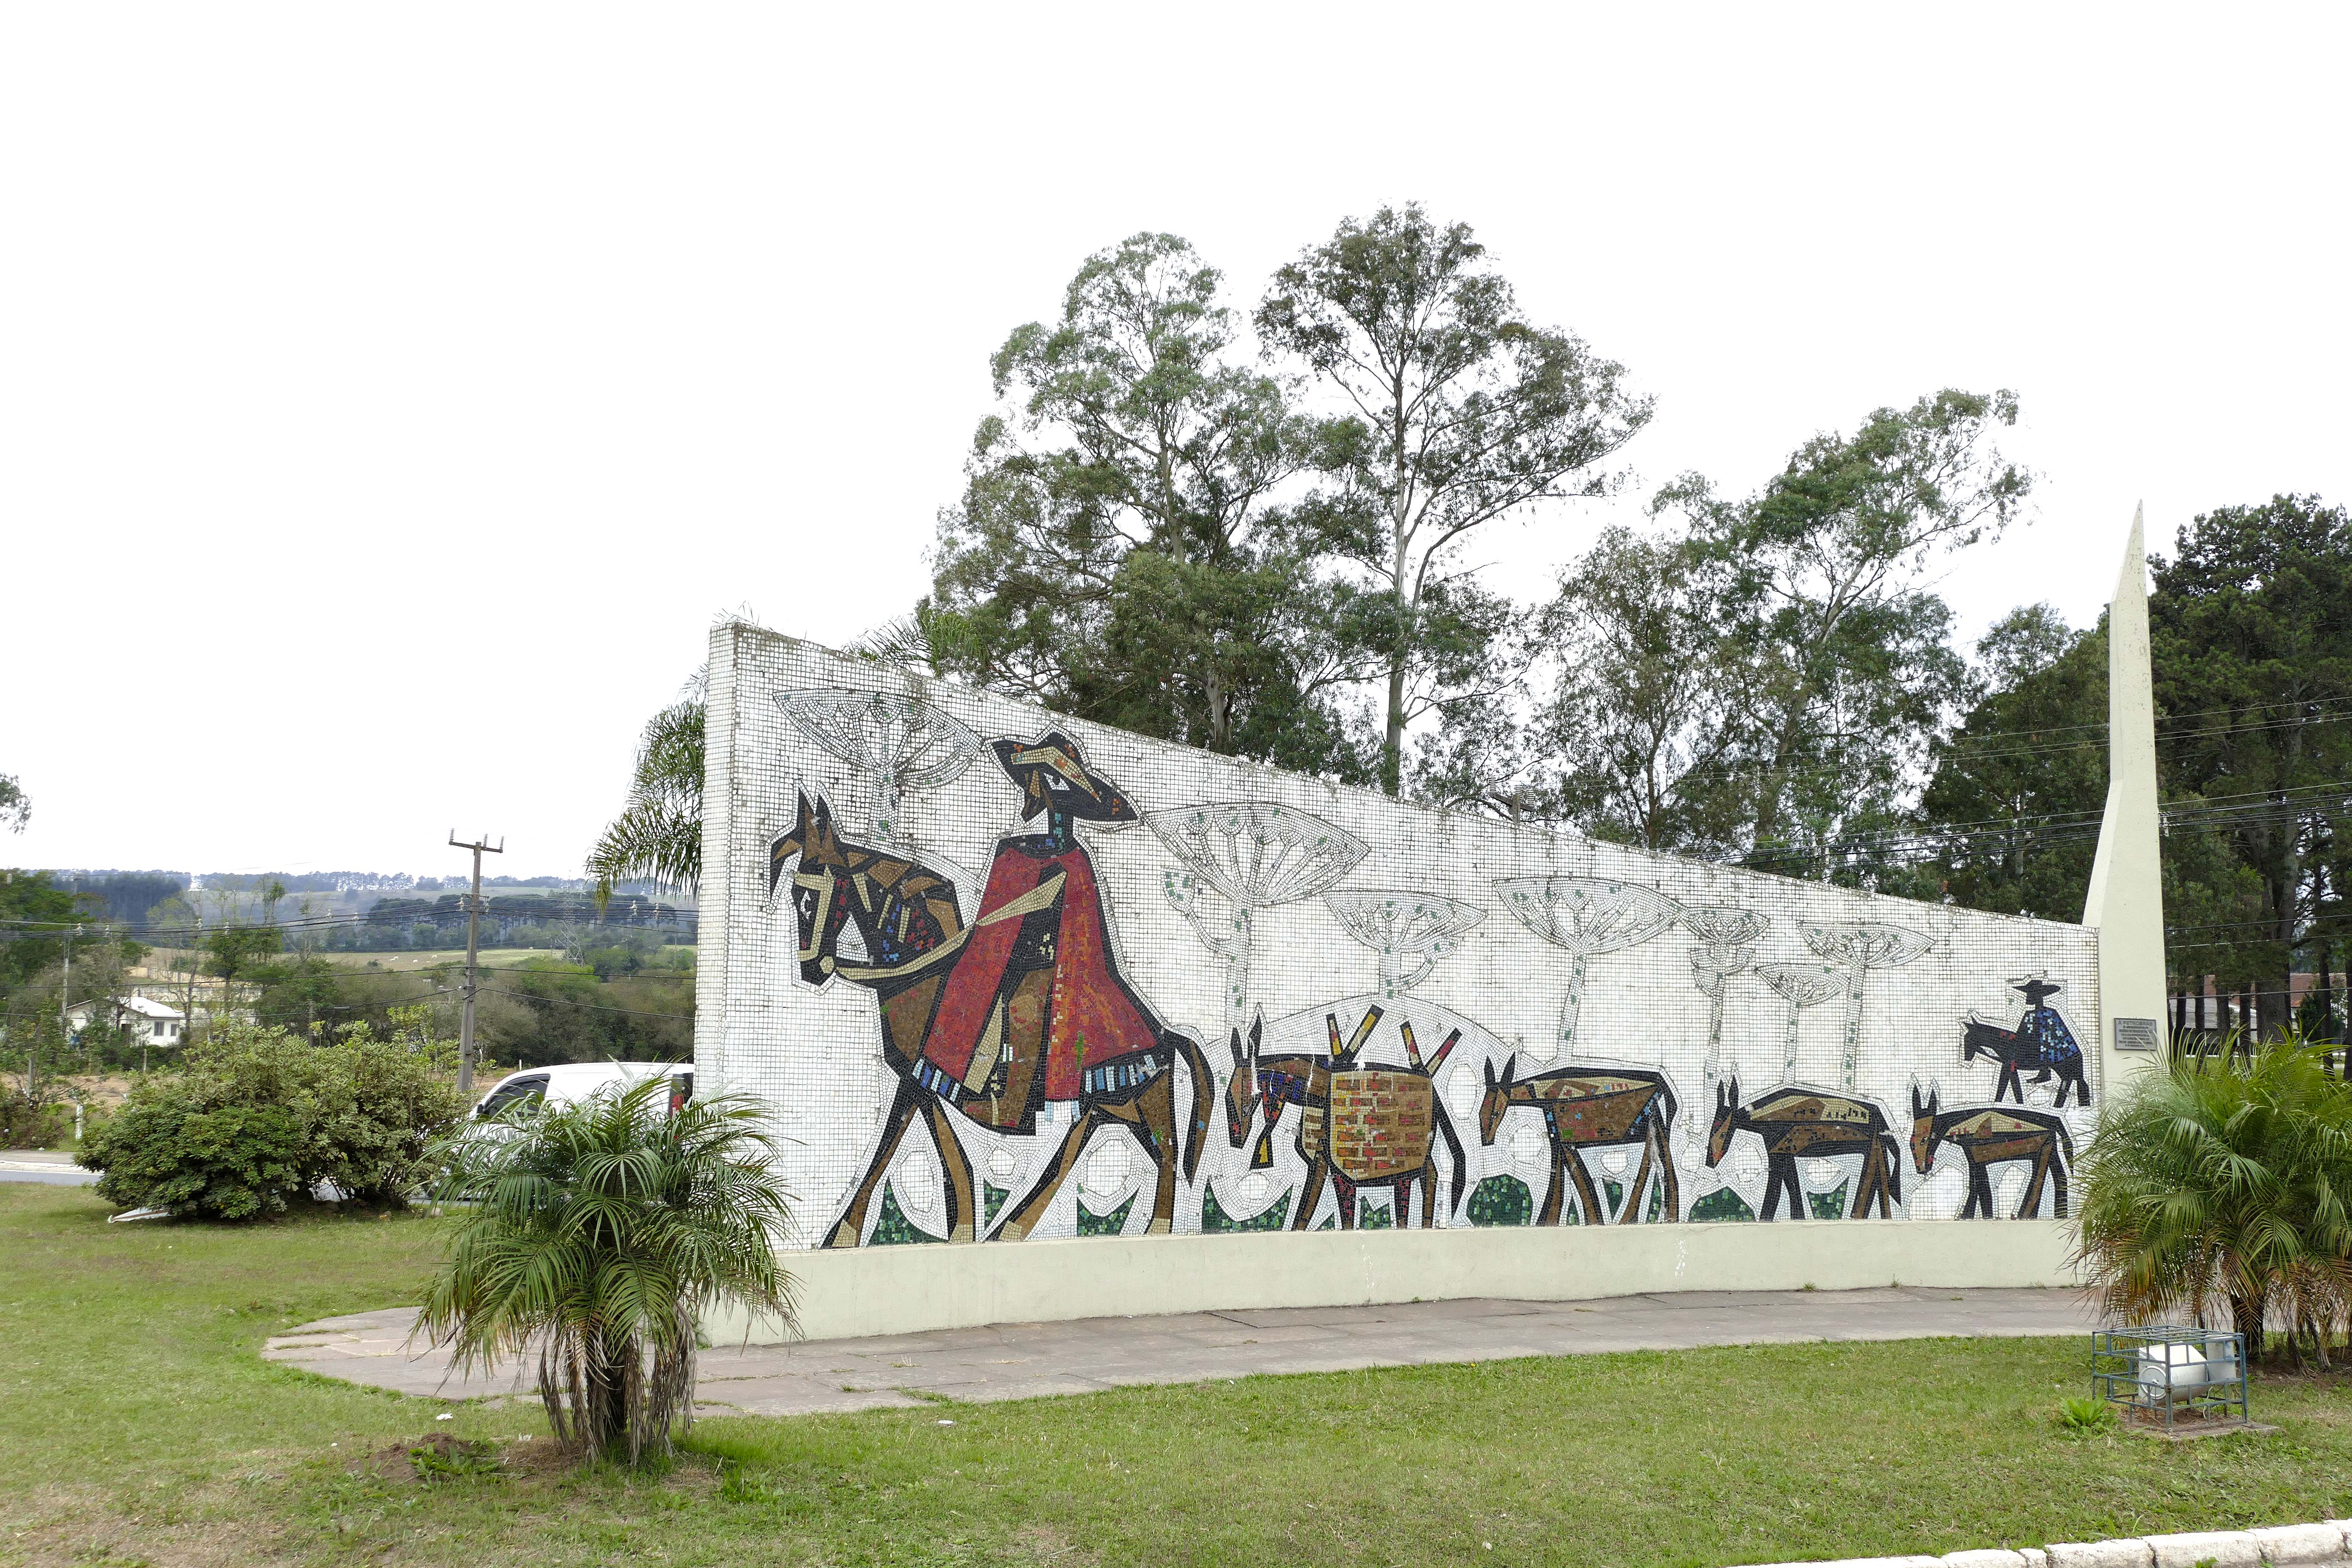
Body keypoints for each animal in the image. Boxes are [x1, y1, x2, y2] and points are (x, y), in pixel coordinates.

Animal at [776, 799, 1213, 1250]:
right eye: (793, 894)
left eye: (811, 898)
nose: (812, 969)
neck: (924, 973)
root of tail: (1165, 1035)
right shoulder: (924, 1079)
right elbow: (938, 1147)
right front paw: (964, 1227)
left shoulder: (919, 1076)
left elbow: (901, 1146)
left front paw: (851, 1234)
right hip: (1114, 1103)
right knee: (1092, 1140)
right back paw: (1014, 1227)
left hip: (1141, 1098)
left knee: (1165, 1157)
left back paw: (1151, 1229)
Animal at [1223, 1011, 1458, 1231]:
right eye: (1226, 1097)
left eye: (1246, 1103)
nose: (1236, 1139)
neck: (1317, 1092)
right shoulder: (1322, 1163)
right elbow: (1308, 1213)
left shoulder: (1338, 1170)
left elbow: (1332, 1215)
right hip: (1405, 1172)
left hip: (1421, 1160)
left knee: (1431, 1178)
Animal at [1477, 1053, 1684, 1222]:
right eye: (1481, 1113)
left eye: (1496, 1113)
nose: (1487, 1140)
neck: (1542, 1093)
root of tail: (1667, 1089)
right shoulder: (1560, 1138)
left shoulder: (1564, 1140)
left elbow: (1578, 1184)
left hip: (1653, 1124)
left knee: (1661, 1170)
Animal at [1721, 1081, 1900, 1222]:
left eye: (1722, 1132)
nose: (1714, 1159)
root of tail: (1882, 1118)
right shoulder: (1785, 1153)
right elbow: (1793, 1191)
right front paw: (1797, 1219)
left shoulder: (1778, 1152)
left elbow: (1775, 1192)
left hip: (1874, 1148)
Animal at [1910, 1086, 2079, 1222]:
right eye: (1912, 1143)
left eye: (1925, 1140)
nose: (1922, 1169)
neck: (1963, 1127)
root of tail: (2056, 1121)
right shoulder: (1974, 1158)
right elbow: (1976, 1188)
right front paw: (1967, 1217)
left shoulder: (1977, 1158)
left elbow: (1983, 1191)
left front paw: (1983, 1217)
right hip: (2051, 1152)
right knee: (2059, 1178)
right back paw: (2057, 1215)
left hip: (2044, 1150)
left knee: (2039, 1181)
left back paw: (2028, 1216)